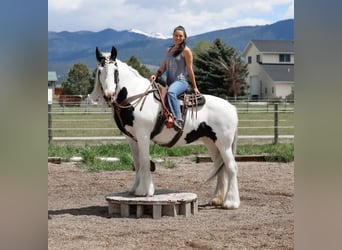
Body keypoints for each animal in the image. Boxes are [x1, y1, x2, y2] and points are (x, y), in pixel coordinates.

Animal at [91, 46, 240, 209]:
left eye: (115, 71)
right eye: (100, 71)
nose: (108, 95)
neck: (135, 97)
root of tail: (232, 107)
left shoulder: (143, 135)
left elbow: (144, 160)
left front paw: (145, 191)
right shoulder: (131, 138)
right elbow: (137, 162)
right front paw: (135, 189)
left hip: (224, 143)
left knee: (231, 167)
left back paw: (231, 202)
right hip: (211, 143)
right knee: (221, 167)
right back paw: (217, 199)